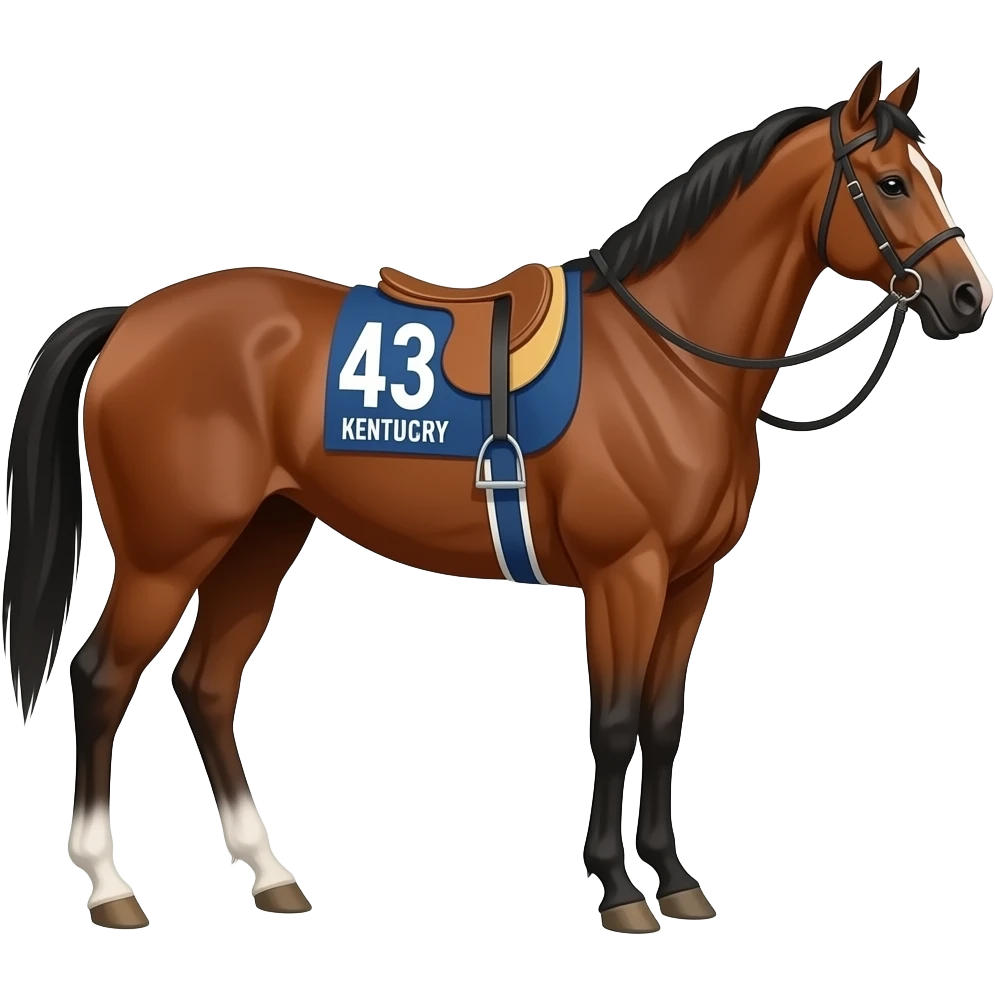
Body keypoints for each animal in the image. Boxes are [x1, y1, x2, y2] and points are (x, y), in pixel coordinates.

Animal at [2, 61, 990, 934]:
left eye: (934, 175)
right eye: (891, 182)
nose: (964, 297)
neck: (669, 357)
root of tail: (130, 321)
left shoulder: (689, 579)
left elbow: (665, 721)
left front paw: (674, 878)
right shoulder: (624, 574)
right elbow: (616, 721)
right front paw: (618, 889)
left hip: (262, 535)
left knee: (206, 680)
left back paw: (270, 871)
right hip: (168, 552)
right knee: (102, 678)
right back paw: (110, 886)